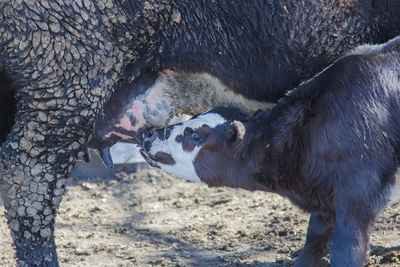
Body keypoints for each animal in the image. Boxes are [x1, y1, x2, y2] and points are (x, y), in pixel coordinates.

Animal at [141, 36, 400, 267]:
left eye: (196, 136)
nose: (148, 134)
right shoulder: (324, 204)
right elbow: (313, 242)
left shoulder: (358, 196)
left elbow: (346, 251)